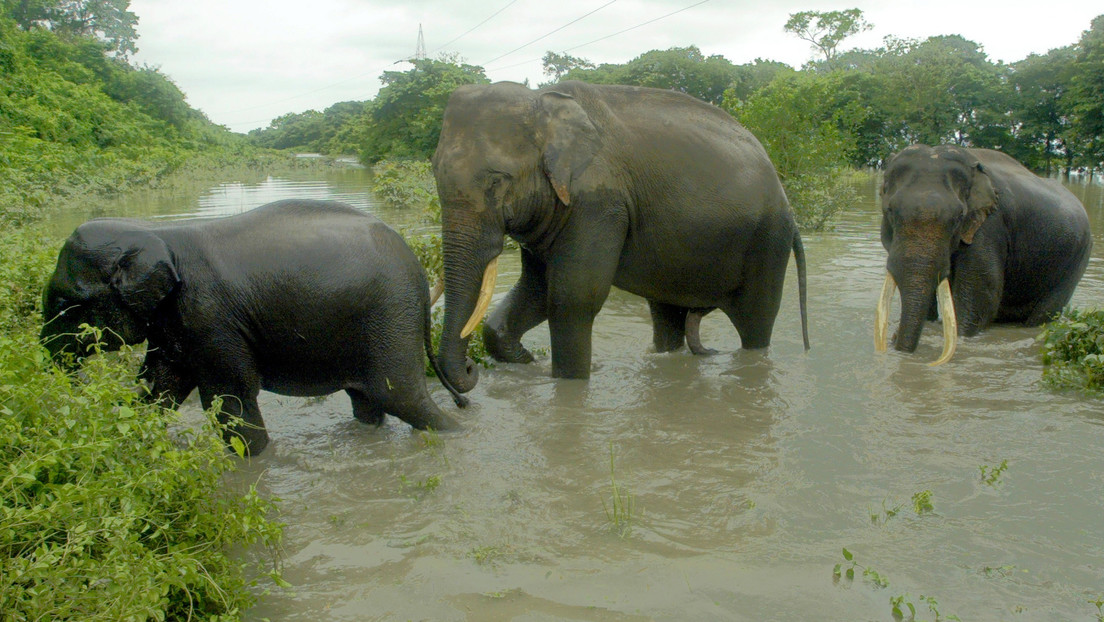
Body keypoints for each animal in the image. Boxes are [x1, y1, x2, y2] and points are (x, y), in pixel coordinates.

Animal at [41, 199, 467, 455]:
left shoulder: (211, 317)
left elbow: (231, 400)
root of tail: (417, 268)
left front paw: (255, 465)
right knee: (367, 399)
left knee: (400, 396)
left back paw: (458, 433)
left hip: (389, 314)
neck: (156, 235)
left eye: (65, 303)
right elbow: (160, 385)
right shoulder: (176, 321)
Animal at [431, 80, 809, 391]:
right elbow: (536, 291)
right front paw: (526, 361)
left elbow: (572, 298)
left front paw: (567, 383)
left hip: (768, 240)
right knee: (667, 315)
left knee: (756, 321)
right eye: (434, 172)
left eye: (496, 182)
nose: (470, 369)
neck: (543, 100)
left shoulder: (599, 204)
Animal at [874, 144, 1092, 364]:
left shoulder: (989, 226)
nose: (894, 339)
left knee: (1046, 311)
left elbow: (981, 298)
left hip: (1077, 260)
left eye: (958, 217)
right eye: (890, 210)